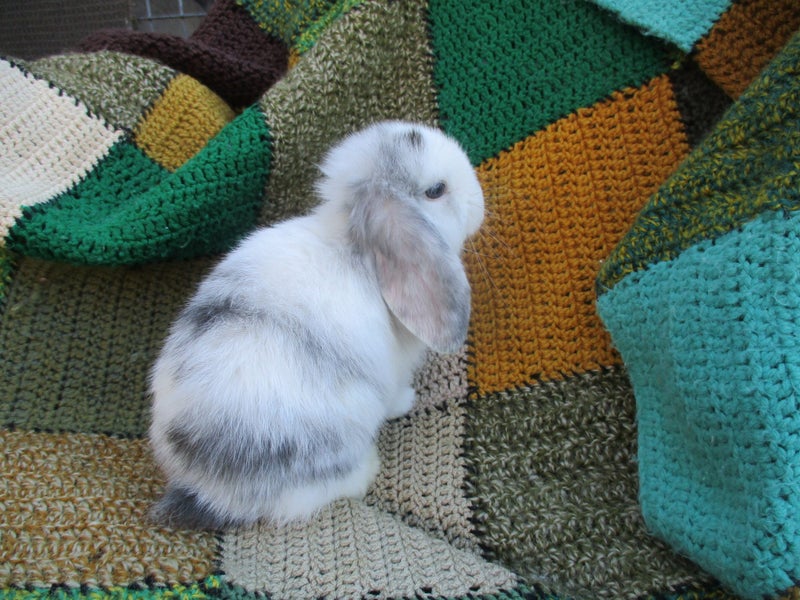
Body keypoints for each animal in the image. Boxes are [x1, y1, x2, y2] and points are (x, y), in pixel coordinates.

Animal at [148, 120, 485, 530]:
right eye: (436, 190)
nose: (480, 200)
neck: (355, 247)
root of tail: (205, 486)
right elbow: (394, 394)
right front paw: (407, 400)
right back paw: (367, 469)